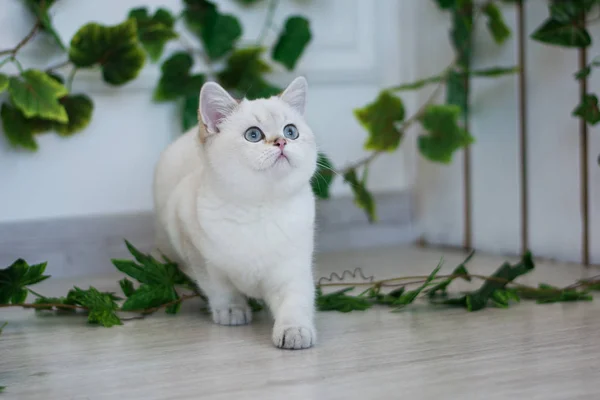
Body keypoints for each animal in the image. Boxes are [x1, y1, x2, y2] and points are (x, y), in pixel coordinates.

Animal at [152, 76, 318, 348]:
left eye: (290, 131)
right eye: (253, 135)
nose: (281, 142)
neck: (260, 208)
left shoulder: (293, 268)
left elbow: (295, 300)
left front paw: (295, 330)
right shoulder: (200, 254)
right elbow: (221, 289)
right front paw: (232, 311)